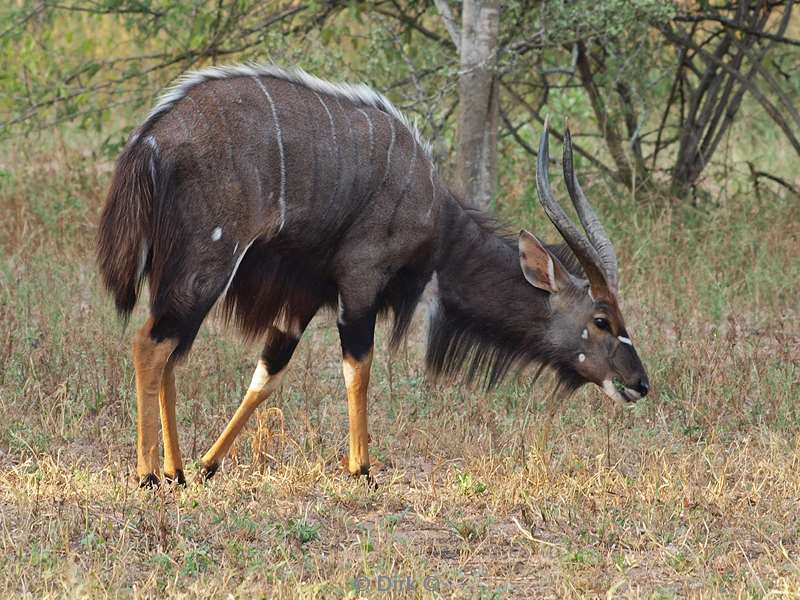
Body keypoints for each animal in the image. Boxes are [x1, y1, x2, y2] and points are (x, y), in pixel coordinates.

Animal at [100, 64, 648, 488]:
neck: (437, 219)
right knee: (150, 345)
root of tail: (152, 141)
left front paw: (208, 464)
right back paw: (148, 474)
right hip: (207, 263)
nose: (639, 383)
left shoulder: (304, 298)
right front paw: (361, 468)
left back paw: (175, 471)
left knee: (169, 352)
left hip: (182, 274)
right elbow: (357, 367)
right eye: (601, 320)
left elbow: (268, 373)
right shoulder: (360, 281)